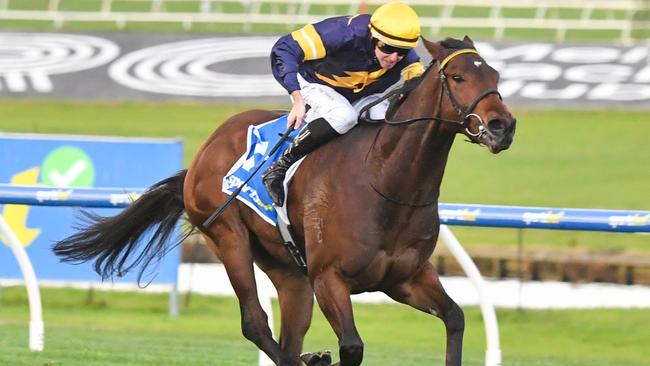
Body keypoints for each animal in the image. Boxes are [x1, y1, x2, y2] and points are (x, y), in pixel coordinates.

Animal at [53, 35, 512, 366]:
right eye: (458, 78)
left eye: (495, 75)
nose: (502, 126)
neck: (387, 182)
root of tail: (205, 150)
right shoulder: (330, 278)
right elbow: (352, 347)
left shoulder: (406, 277)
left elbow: (455, 318)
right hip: (229, 237)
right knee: (255, 323)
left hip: (289, 271)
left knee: (289, 336)